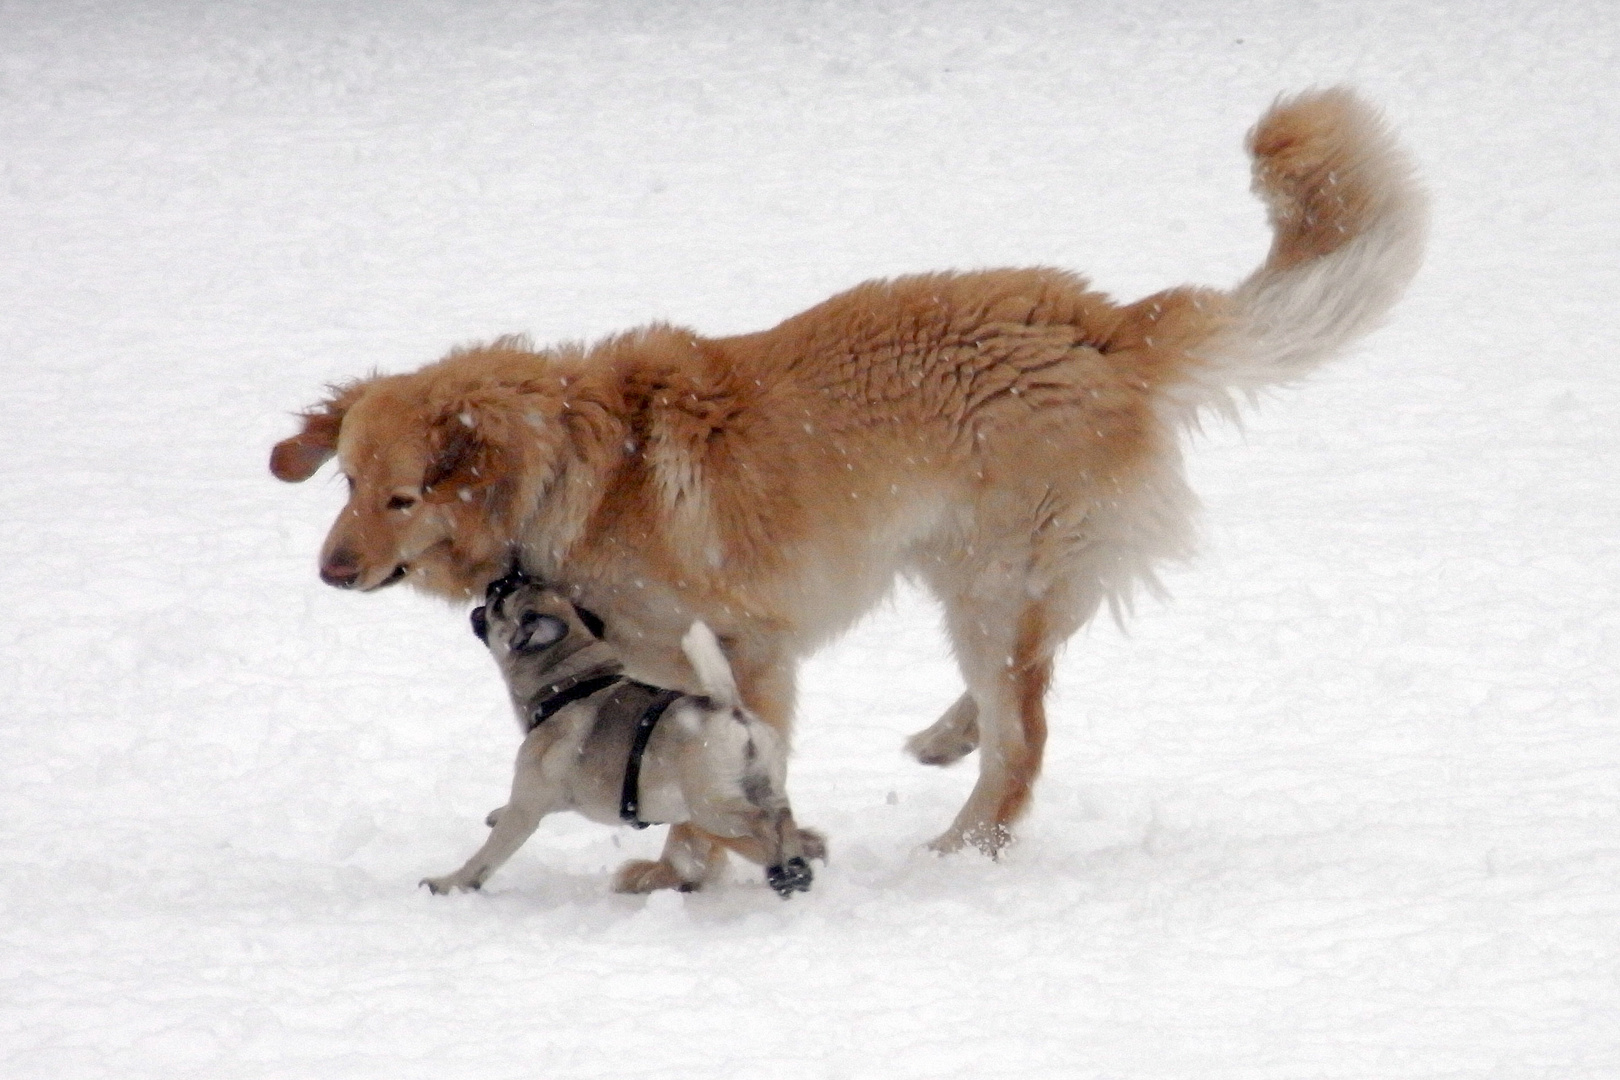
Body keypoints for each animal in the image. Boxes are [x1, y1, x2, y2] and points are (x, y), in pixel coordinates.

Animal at [272, 90, 1425, 887]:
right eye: (347, 480)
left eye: (400, 499)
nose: (329, 572)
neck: (580, 468)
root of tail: (1097, 324)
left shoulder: (749, 652)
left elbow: (717, 779)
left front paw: (681, 868)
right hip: (983, 573)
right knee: (1035, 673)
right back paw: (947, 737)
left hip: (987, 580)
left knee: (1025, 739)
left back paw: (961, 848)